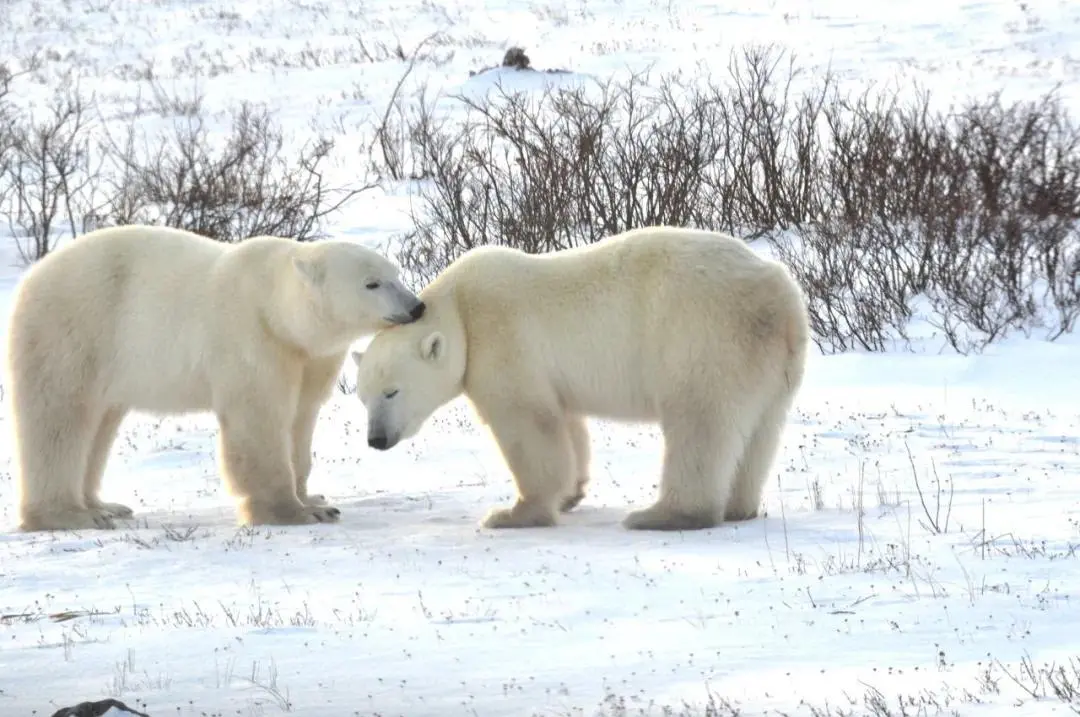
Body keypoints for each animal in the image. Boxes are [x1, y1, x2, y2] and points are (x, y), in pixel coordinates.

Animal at [7, 224, 425, 531]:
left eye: (395, 274)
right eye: (371, 283)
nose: (416, 306)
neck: (276, 308)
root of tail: (31, 277)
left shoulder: (309, 357)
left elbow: (300, 418)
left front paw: (316, 500)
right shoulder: (253, 341)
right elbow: (259, 423)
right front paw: (293, 512)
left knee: (100, 423)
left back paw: (105, 505)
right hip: (74, 331)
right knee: (60, 420)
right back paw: (70, 515)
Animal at [354, 225, 812, 531]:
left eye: (392, 392)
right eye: (363, 397)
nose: (376, 439)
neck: (459, 309)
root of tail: (781, 296)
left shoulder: (502, 340)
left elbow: (526, 424)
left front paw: (511, 513)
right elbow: (565, 422)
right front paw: (571, 493)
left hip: (704, 336)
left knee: (699, 422)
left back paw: (661, 514)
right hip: (772, 362)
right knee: (760, 431)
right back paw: (739, 506)